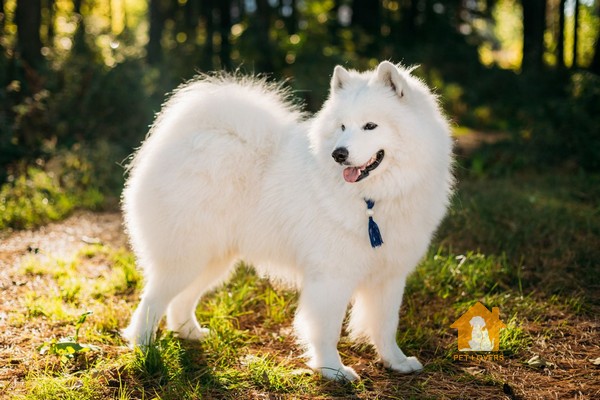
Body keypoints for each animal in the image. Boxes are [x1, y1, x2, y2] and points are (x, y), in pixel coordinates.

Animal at [122, 61, 452, 380]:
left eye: (370, 126)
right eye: (342, 126)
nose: (338, 154)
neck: (373, 199)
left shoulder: (390, 275)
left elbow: (385, 325)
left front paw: (396, 362)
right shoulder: (331, 276)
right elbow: (327, 328)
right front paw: (333, 370)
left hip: (212, 258)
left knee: (181, 300)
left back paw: (189, 333)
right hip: (186, 255)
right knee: (151, 301)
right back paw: (144, 347)